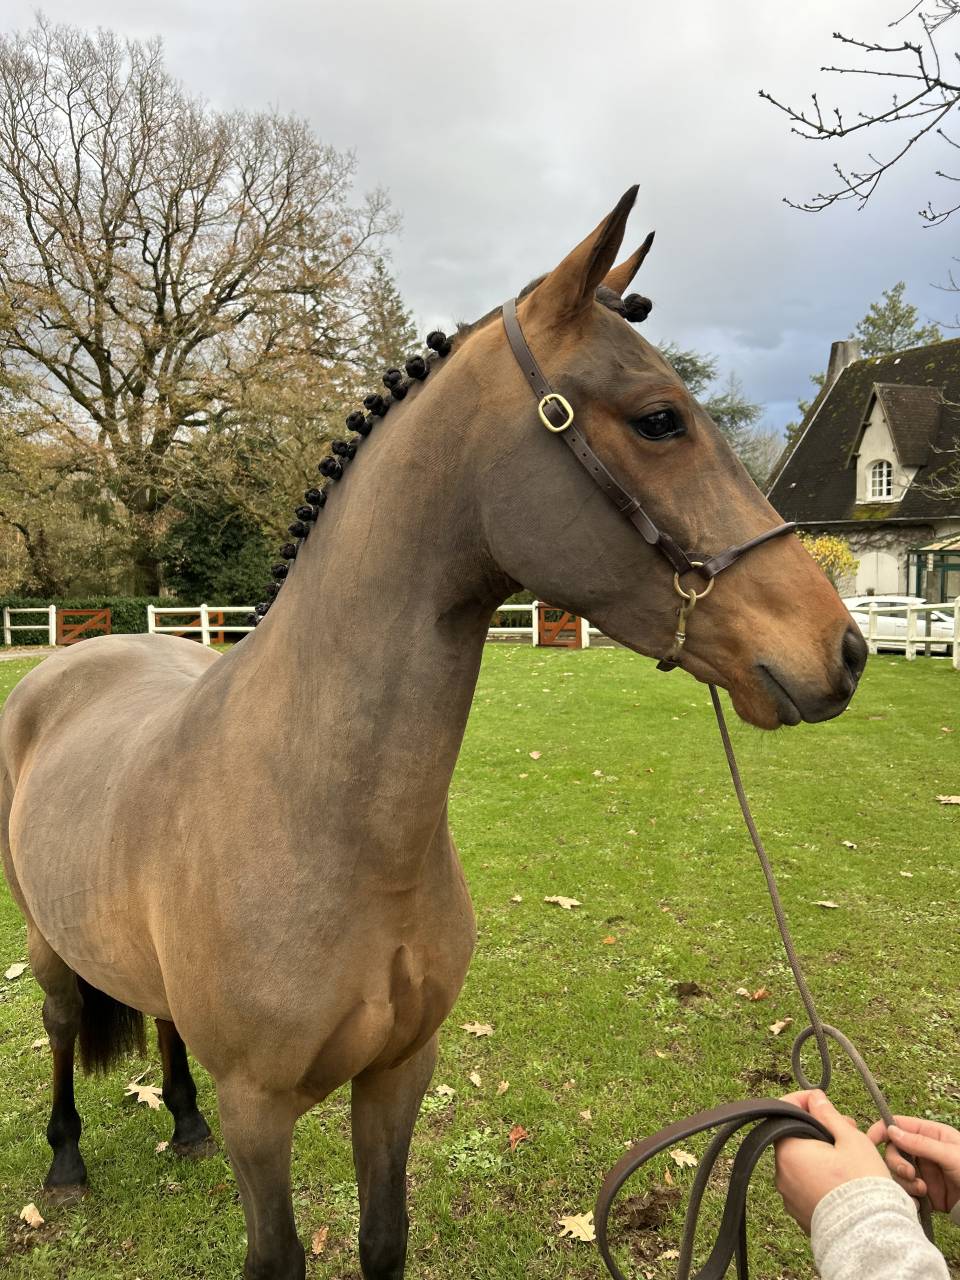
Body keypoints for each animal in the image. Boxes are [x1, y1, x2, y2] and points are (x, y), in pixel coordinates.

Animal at [0, 186, 866, 1280]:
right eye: (660, 418)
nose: (842, 649)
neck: (323, 816)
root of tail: (82, 649)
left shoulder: (400, 1075)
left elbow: (384, 1240)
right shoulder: (261, 1114)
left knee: (162, 1026)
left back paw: (183, 1124)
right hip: (47, 945)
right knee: (63, 1025)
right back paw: (66, 1160)